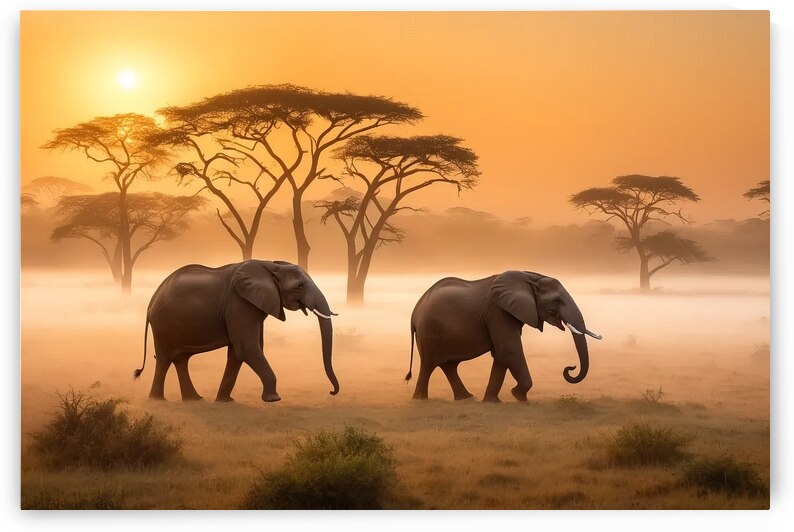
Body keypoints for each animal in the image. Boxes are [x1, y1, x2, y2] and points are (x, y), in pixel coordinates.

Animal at [133, 260, 339, 403]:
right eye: (300, 286)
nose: (331, 391)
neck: (270, 264)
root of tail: (151, 302)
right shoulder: (239, 303)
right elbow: (247, 348)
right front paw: (273, 400)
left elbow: (239, 352)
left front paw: (225, 401)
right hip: (162, 324)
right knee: (165, 359)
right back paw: (158, 400)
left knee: (180, 359)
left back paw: (194, 399)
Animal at [405, 271, 601, 402]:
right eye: (557, 301)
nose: (570, 368)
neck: (530, 277)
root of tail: (414, 312)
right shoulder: (498, 312)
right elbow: (509, 351)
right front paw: (519, 397)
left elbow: (501, 355)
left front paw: (493, 402)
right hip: (429, 330)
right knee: (429, 365)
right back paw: (420, 400)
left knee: (448, 366)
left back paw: (466, 398)